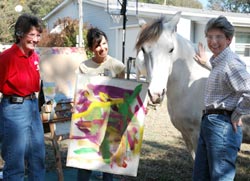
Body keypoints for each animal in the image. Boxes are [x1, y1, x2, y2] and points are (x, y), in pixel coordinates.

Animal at [136, 11, 250, 158]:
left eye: (171, 49)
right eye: (143, 49)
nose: (156, 94)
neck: (188, 86)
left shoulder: (197, 135)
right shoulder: (185, 134)